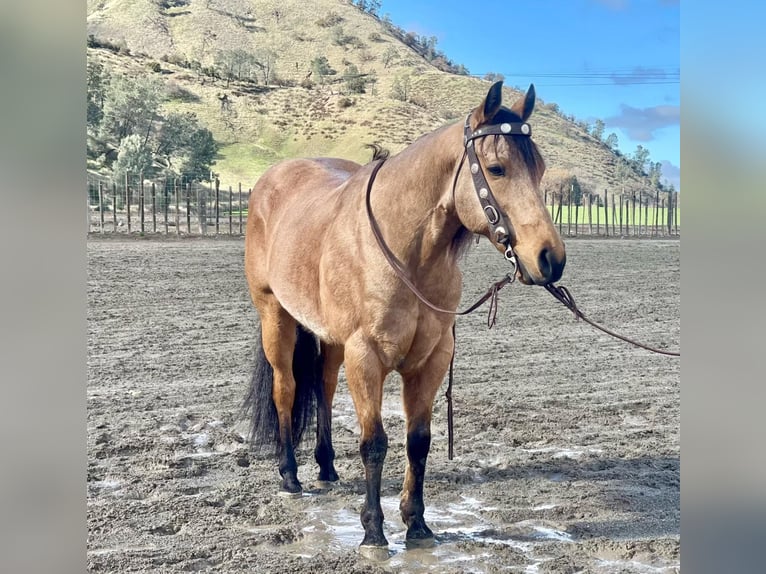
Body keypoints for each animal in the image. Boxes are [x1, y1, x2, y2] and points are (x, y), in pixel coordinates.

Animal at [243, 81, 568, 560]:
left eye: (540, 168)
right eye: (497, 168)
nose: (550, 258)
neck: (408, 252)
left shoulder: (431, 359)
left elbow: (419, 441)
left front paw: (417, 524)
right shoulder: (366, 357)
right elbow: (374, 443)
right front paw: (373, 533)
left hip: (331, 339)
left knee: (323, 387)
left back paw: (326, 467)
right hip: (275, 316)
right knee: (286, 389)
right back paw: (290, 475)